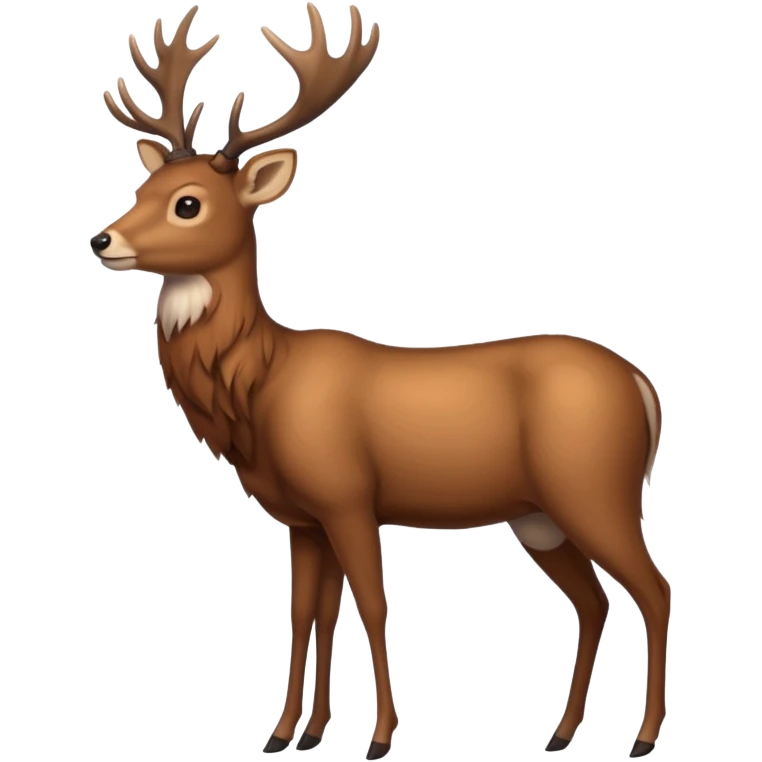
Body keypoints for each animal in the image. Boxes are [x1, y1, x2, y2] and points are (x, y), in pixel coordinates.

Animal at [91, 3, 669, 759]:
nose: (103, 239)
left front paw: (379, 736)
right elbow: (306, 613)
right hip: (538, 515)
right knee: (595, 599)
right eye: (143, 189)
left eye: (188, 203)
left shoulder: (347, 495)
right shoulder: (302, 517)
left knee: (654, 589)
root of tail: (644, 387)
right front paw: (292, 734)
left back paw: (644, 736)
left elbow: (370, 603)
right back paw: (561, 732)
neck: (260, 389)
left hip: (595, 487)